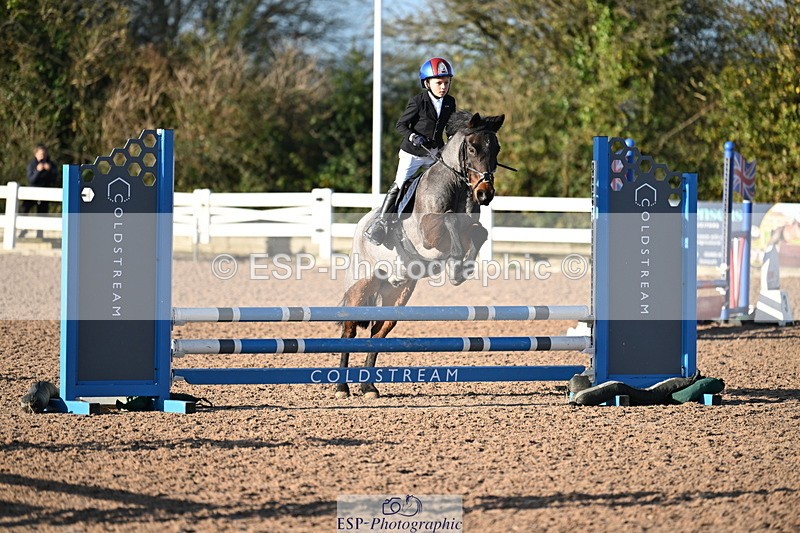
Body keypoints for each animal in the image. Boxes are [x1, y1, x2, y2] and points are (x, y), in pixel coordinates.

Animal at [335, 111, 506, 398]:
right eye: (472, 148)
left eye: (496, 149)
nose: (485, 194)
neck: (457, 186)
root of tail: (360, 226)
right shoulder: (428, 234)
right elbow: (449, 222)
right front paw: (456, 263)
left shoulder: (470, 227)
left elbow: (479, 232)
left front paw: (460, 270)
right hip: (360, 285)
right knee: (349, 332)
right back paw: (341, 387)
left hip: (398, 295)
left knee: (378, 334)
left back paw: (368, 387)